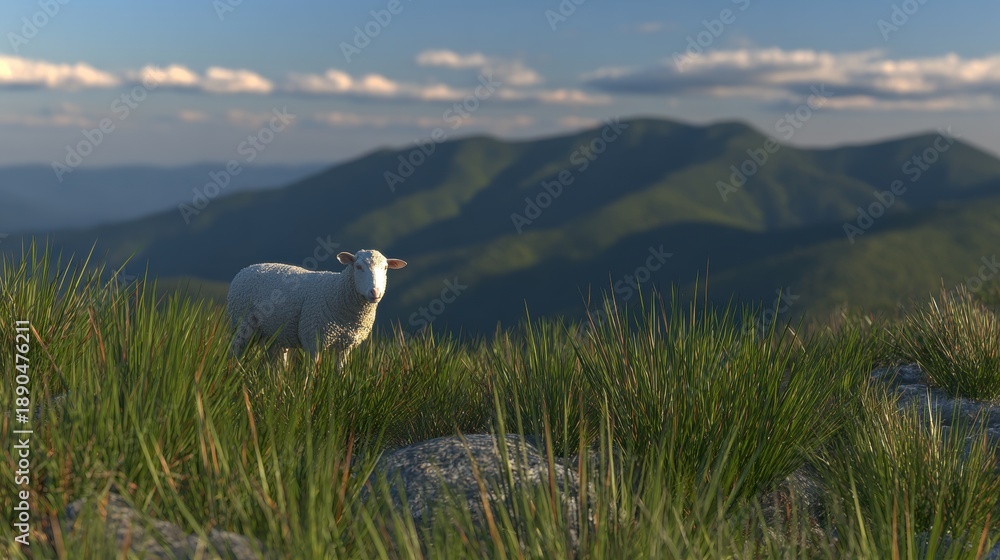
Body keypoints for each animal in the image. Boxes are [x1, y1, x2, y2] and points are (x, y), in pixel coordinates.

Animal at [226, 249, 407, 370]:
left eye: (385, 268)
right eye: (358, 266)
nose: (375, 292)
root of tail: (246, 269)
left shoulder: (346, 345)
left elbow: (340, 371)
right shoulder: (313, 339)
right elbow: (312, 373)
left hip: (275, 334)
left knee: (275, 362)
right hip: (241, 323)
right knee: (235, 350)